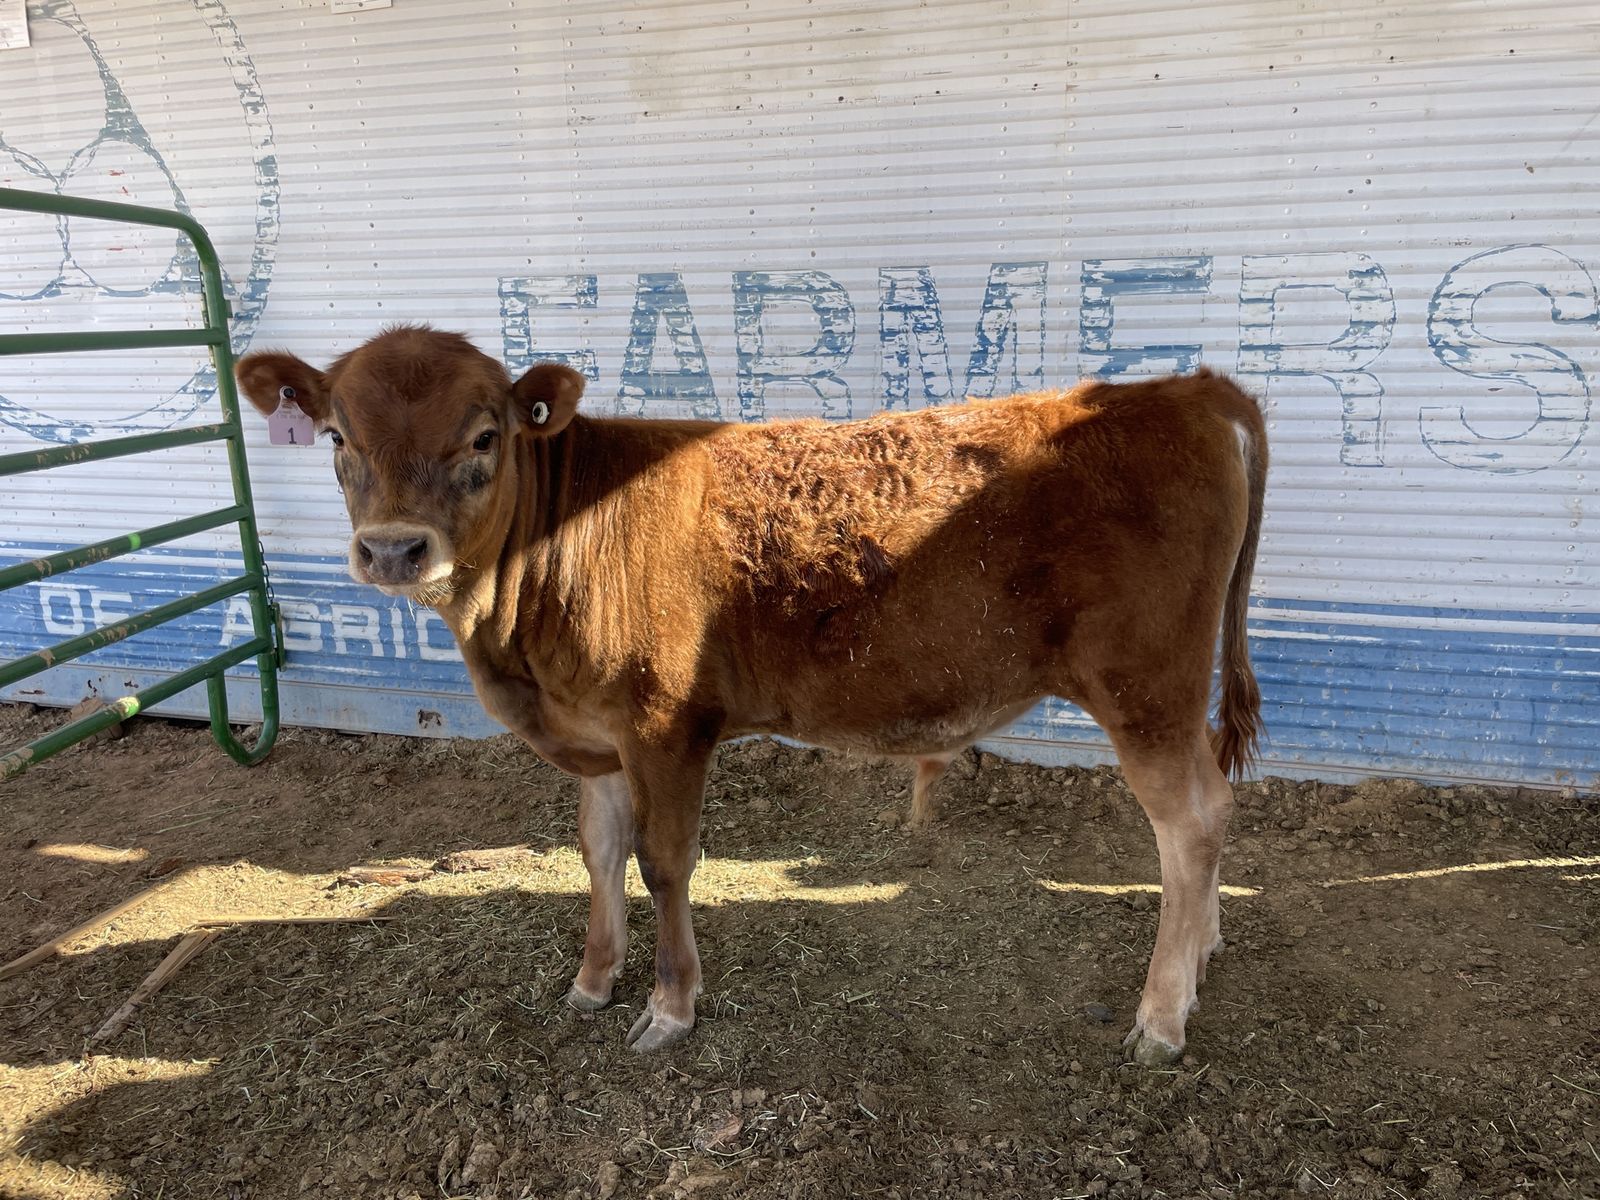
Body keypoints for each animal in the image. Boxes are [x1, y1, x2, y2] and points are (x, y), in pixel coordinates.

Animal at [236, 326, 1267, 1065]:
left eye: (484, 436)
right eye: (336, 437)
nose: (394, 550)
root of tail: (1181, 388)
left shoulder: (661, 724)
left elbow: (664, 863)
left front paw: (668, 1007)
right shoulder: (596, 734)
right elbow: (598, 851)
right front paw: (592, 979)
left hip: (1146, 688)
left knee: (1190, 823)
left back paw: (1162, 1017)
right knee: (1212, 813)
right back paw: (1204, 955)